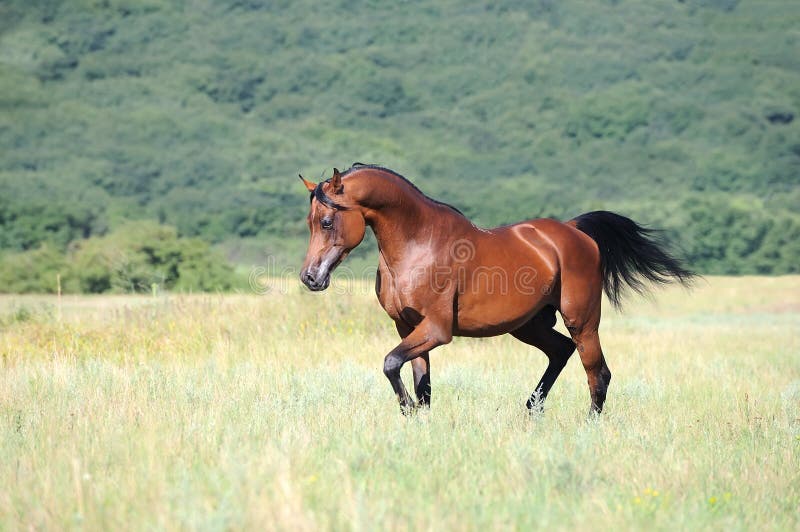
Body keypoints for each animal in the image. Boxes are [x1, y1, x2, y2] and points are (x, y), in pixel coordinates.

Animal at [296, 164, 692, 414]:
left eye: (327, 221)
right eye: (310, 222)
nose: (310, 277)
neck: (418, 243)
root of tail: (576, 232)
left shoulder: (436, 330)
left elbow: (391, 363)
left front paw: (406, 409)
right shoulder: (407, 327)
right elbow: (422, 385)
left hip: (582, 322)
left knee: (598, 373)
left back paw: (586, 426)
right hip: (529, 325)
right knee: (561, 352)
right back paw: (532, 410)